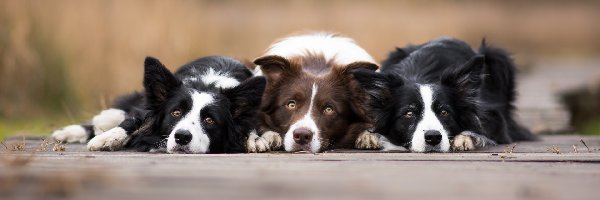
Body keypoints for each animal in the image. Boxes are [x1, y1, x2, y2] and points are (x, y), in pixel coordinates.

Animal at [50, 55, 266, 153]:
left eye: (209, 120)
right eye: (176, 113)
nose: (182, 137)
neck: (207, 83)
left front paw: (254, 139)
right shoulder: (147, 110)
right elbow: (132, 121)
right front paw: (107, 139)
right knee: (109, 117)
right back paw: (68, 132)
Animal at [247, 32, 380, 153]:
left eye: (329, 109)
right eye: (291, 104)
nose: (301, 136)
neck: (317, 62)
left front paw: (368, 136)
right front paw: (267, 137)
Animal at [352, 37, 536, 152]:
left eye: (444, 112)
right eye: (409, 113)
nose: (433, 138)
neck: (420, 76)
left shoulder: (493, 117)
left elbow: (479, 128)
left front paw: (464, 138)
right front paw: (368, 136)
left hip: (499, 58)